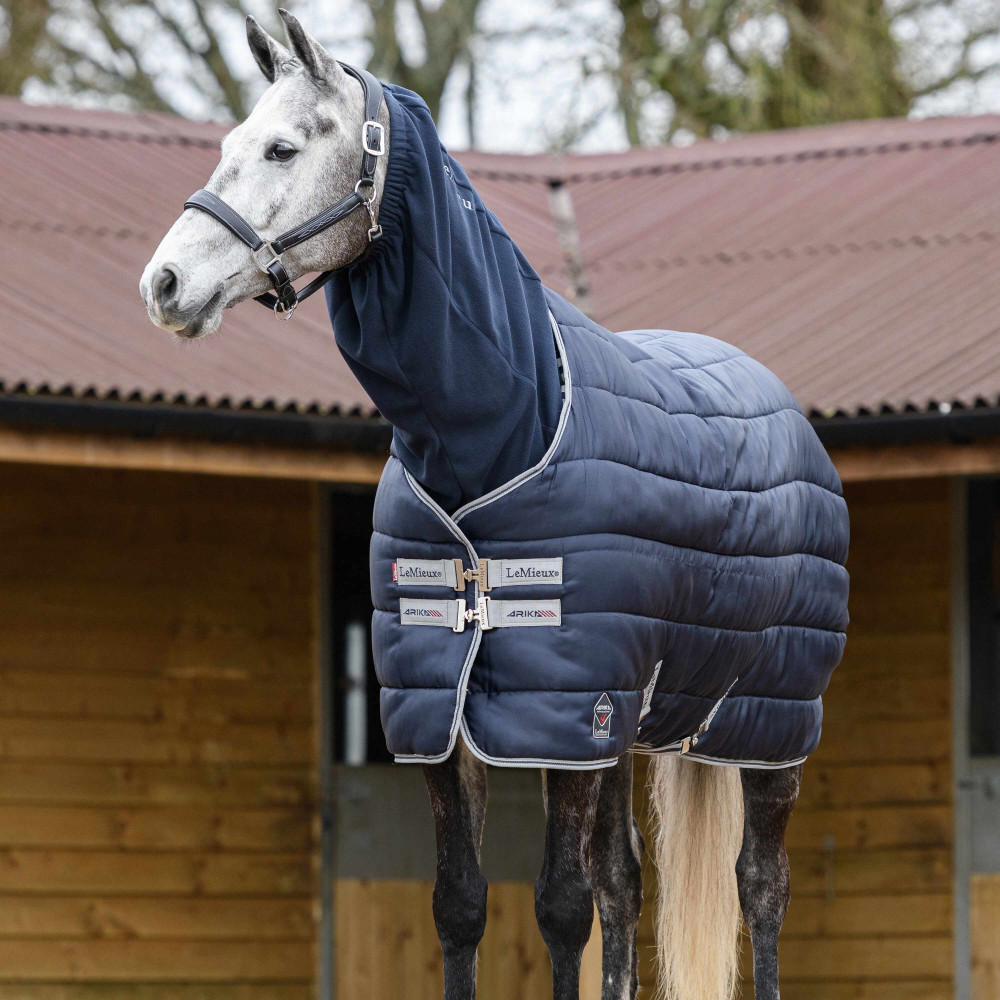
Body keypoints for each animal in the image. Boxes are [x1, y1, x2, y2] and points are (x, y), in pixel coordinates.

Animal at [140, 12, 848, 1000]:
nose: (162, 285)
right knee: (626, 884)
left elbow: (559, 907)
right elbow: (463, 904)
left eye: (282, 147)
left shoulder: (565, 713)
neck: (496, 442)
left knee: (760, 886)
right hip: (632, 730)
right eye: (227, 145)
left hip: (772, 725)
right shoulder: (449, 716)